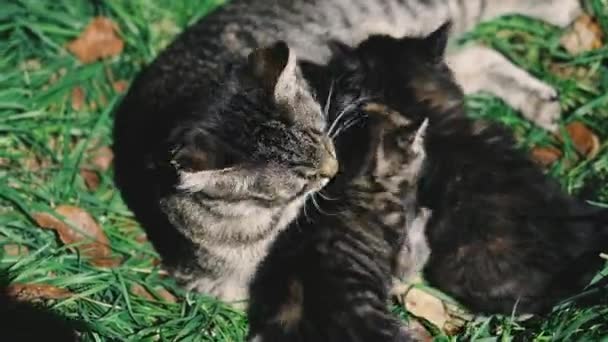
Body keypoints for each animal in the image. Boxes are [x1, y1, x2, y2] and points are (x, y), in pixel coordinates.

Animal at [114, 0, 584, 302]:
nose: (334, 168)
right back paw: (537, 98)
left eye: (324, 133)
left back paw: (561, 13)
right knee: (471, 57)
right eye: (301, 179)